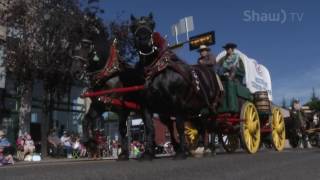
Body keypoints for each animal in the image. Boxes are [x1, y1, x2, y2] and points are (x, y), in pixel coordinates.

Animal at [72, 14, 154, 160]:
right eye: (73, 47)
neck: (108, 76)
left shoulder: (122, 109)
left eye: (86, 45)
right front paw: (90, 143)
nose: (75, 71)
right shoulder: (98, 106)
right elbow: (85, 121)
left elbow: (122, 129)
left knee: (150, 126)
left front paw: (123, 153)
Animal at [130, 13, 222, 158]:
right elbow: (151, 128)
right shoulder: (148, 106)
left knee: (212, 124)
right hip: (196, 109)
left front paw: (182, 151)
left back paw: (211, 147)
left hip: (212, 105)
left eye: (152, 24)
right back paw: (201, 147)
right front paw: (148, 153)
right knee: (202, 125)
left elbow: (179, 126)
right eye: (132, 27)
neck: (155, 71)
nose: (143, 39)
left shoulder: (177, 101)